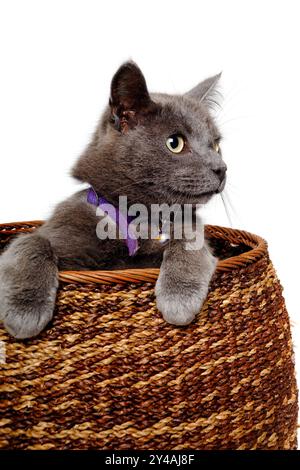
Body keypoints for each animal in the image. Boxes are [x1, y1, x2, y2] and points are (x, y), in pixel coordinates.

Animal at [0, 61, 226, 338]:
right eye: (175, 143)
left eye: (216, 146)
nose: (221, 168)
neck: (138, 220)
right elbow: (31, 241)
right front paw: (24, 311)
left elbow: (189, 239)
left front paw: (179, 298)